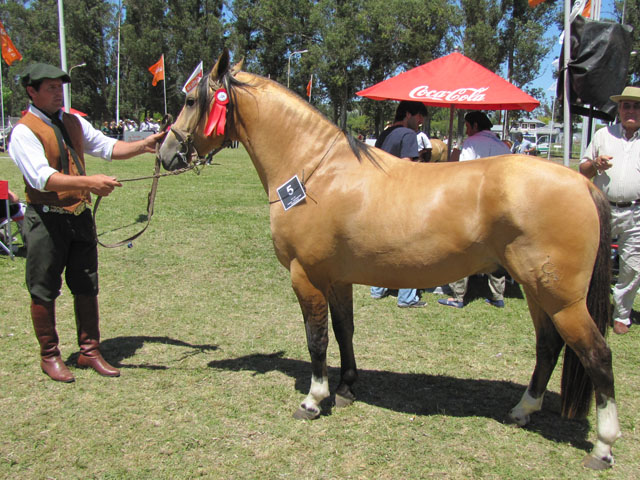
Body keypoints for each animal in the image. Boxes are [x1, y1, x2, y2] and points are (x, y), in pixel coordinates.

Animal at [159, 51, 620, 468]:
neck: (314, 172)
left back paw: (603, 447)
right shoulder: (337, 278)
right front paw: (346, 388)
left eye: (190, 100)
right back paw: (522, 411)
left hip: (562, 300)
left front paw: (314, 399)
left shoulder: (306, 276)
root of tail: (580, 182)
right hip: (538, 292)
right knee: (548, 347)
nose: (166, 153)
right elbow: (344, 331)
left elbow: (317, 339)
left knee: (597, 356)